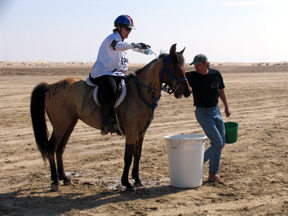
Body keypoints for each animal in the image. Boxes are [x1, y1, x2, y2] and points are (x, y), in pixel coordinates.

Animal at [30, 43, 191, 192]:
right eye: (176, 67)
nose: (188, 91)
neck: (140, 93)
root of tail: (51, 85)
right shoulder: (131, 133)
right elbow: (128, 157)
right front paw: (127, 183)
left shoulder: (141, 133)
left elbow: (137, 155)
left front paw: (137, 180)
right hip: (60, 125)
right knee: (51, 147)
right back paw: (55, 181)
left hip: (70, 124)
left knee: (60, 148)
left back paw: (64, 178)